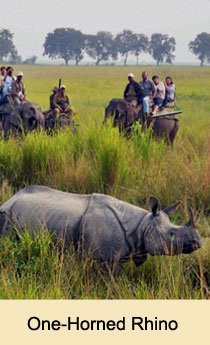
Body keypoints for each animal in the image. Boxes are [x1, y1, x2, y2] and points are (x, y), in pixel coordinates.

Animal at [0, 185, 202, 266]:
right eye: (171, 234)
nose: (198, 242)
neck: (143, 224)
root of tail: (10, 199)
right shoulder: (107, 257)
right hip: (7, 215)